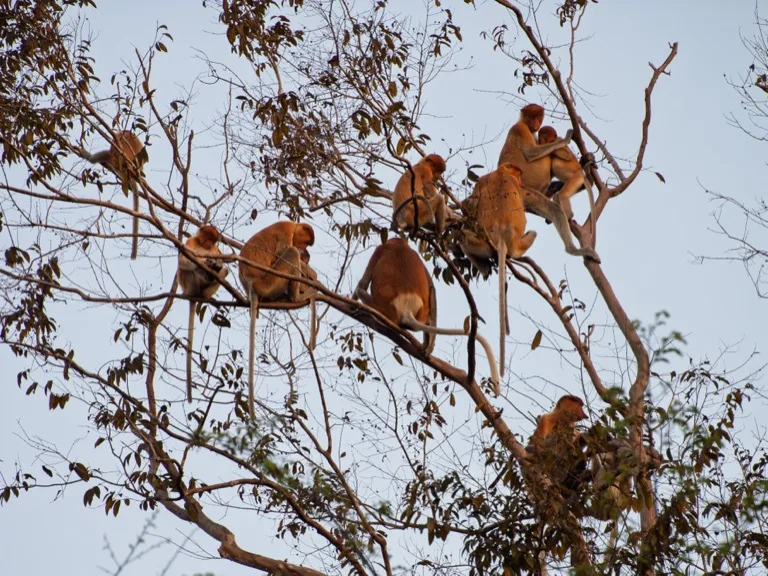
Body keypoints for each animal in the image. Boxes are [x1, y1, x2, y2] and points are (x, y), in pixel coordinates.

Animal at [177, 225, 229, 403]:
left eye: (213, 241)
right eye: (207, 238)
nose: (208, 244)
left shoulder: (216, 250)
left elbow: (222, 264)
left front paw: (216, 264)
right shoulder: (191, 241)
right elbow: (184, 260)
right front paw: (206, 262)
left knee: (224, 271)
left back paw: (207, 293)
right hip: (188, 284)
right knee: (189, 270)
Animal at [238, 221, 316, 417]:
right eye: (306, 242)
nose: (304, 250)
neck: (294, 226)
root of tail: (251, 283)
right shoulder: (285, 231)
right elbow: (282, 252)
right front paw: (312, 274)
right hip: (271, 280)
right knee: (290, 253)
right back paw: (297, 296)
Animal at [354, 238, 501, 395]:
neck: (399, 245)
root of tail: (406, 308)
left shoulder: (380, 250)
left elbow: (362, 284)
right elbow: (432, 287)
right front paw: (429, 348)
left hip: (385, 309)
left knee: (362, 290)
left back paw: (365, 312)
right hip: (421, 313)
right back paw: (425, 345)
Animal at [459, 163, 536, 378]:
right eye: (519, 176)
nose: (523, 183)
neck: (500, 173)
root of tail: (501, 236)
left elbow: (470, 203)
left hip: (480, 242)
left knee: (461, 235)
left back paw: (484, 267)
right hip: (516, 243)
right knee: (530, 235)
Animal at [497, 104, 600, 263]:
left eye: (538, 117)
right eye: (531, 117)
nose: (535, 125)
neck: (525, 124)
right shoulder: (520, 129)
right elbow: (531, 152)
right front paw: (566, 137)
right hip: (525, 193)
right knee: (555, 209)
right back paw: (573, 249)